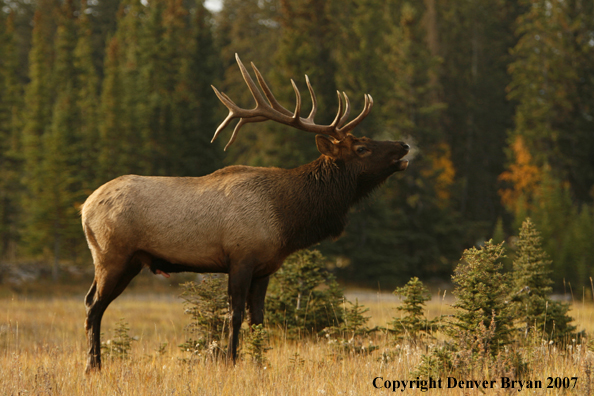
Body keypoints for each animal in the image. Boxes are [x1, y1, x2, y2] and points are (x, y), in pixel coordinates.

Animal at [82, 54, 408, 372]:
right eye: (362, 148)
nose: (404, 145)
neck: (288, 220)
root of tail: (85, 207)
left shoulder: (265, 267)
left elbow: (258, 319)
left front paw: (260, 362)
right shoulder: (240, 257)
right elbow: (235, 315)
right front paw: (230, 361)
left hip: (132, 261)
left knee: (93, 302)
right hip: (112, 255)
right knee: (93, 306)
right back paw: (93, 365)